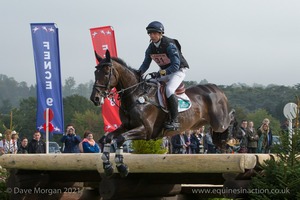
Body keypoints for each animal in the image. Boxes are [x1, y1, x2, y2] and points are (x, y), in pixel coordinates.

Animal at [90, 49, 236, 177]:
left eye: (106, 72)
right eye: (95, 72)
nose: (95, 98)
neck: (136, 95)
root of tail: (217, 89)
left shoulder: (146, 130)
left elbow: (120, 138)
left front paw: (121, 166)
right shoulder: (126, 126)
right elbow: (109, 138)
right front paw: (108, 166)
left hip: (219, 123)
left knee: (230, 118)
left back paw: (230, 137)